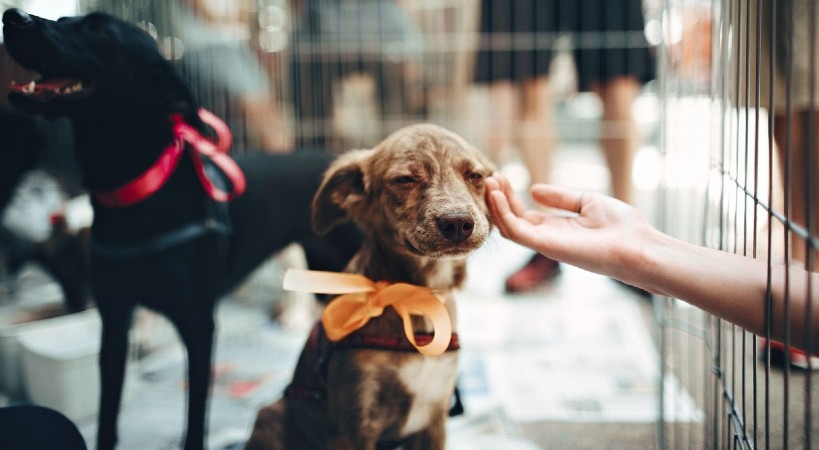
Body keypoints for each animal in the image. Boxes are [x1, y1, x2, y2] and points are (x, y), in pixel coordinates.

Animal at [2, 7, 362, 450]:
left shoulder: (198, 325)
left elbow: (194, 420)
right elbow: (108, 416)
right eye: (66, 17)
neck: (136, 193)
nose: (12, 16)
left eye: (97, 29)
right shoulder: (115, 322)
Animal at [245, 124, 494, 450]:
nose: (458, 223)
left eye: (475, 176)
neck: (415, 298)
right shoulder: (356, 421)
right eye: (404, 179)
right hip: (271, 415)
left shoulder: (434, 418)